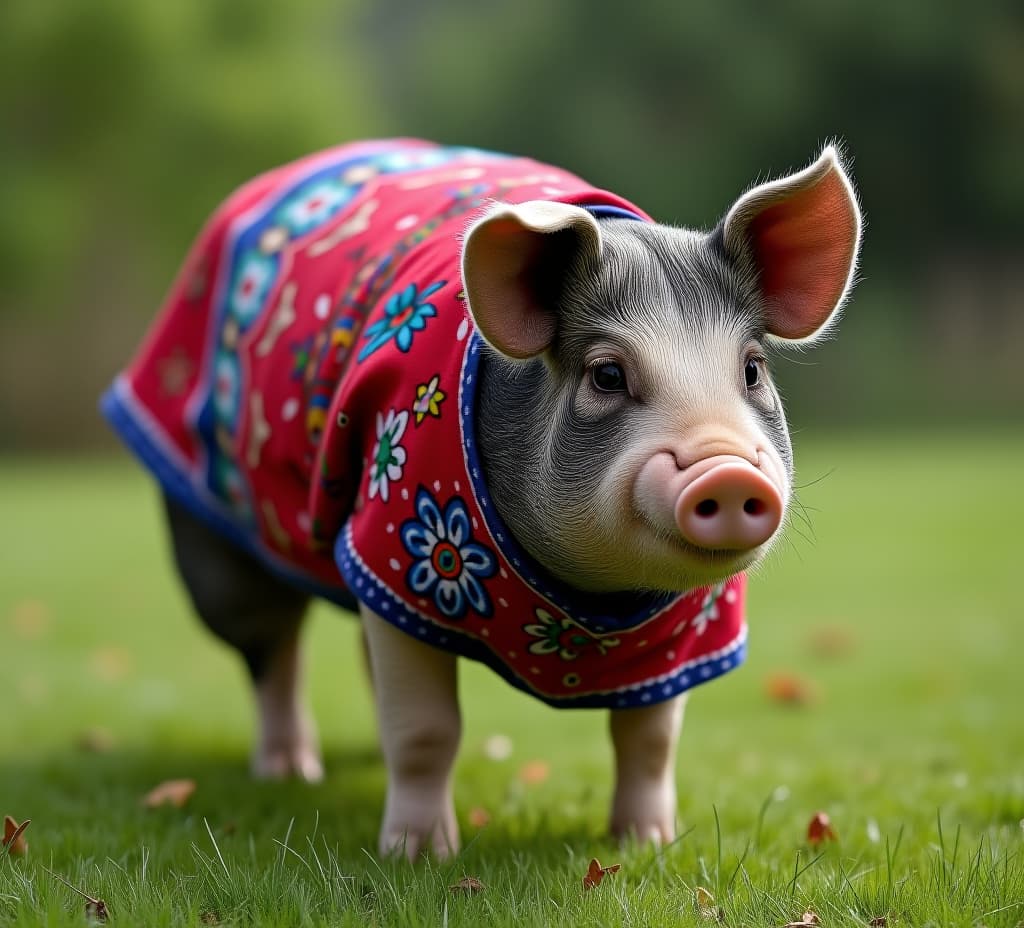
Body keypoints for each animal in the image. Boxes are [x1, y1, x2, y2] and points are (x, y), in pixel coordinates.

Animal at [103, 135, 860, 852]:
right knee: (272, 650)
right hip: (218, 535)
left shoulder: (686, 634)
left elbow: (650, 739)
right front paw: (417, 855)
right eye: (607, 375)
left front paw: (646, 844)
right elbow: (427, 727)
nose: (727, 471)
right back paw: (292, 774)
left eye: (752, 370)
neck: (582, 601)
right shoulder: (394, 545)